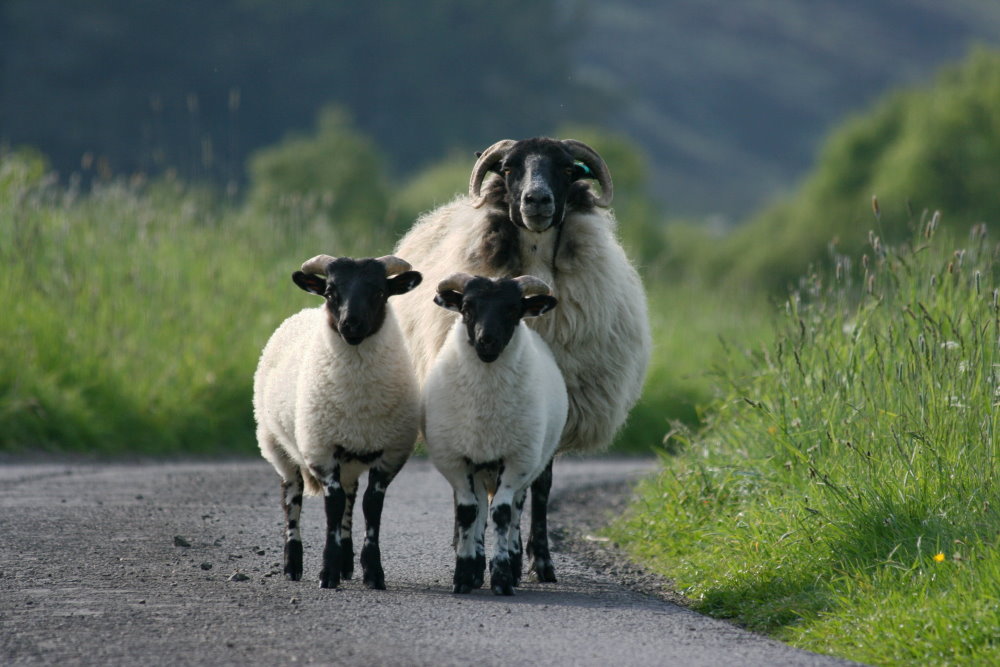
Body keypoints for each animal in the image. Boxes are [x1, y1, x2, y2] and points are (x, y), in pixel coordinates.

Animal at [254, 253, 422, 588]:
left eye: (379, 292)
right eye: (331, 292)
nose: (350, 324)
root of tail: (303, 312)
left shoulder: (391, 454)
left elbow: (370, 507)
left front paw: (372, 572)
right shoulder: (321, 450)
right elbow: (332, 507)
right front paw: (327, 573)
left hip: (351, 459)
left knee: (350, 498)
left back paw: (346, 563)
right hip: (276, 444)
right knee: (291, 497)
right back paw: (293, 564)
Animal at [418, 272, 568, 596]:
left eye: (513, 309)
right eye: (467, 307)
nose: (487, 340)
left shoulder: (516, 460)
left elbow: (502, 514)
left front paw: (501, 577)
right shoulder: (456, 459)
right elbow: (468, 512)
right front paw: (464, 574)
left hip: (529, 463)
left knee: (514, 511)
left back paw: (512, 563)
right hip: (480, 464)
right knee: (480, 510)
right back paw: (477, 567)